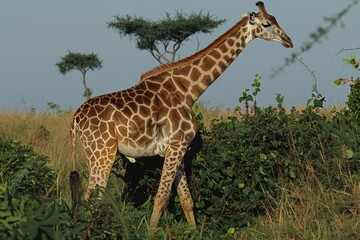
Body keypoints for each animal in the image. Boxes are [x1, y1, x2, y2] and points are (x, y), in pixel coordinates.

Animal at [69, 1, 292, 229]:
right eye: (266, 24)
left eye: (274, 19)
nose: (288, 41)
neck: (188, 91)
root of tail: (76, 120)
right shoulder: (176, 145)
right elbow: (161, 198)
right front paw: (151, 232)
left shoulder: (178, 149)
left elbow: (186, 199)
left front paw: (194, 232)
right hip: (103, 153)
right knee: (92, 199)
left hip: (96, 154)